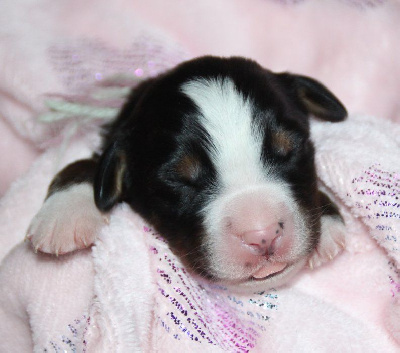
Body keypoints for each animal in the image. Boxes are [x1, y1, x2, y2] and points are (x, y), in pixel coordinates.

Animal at [28, 56, 346, 290]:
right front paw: (66, 212)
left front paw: (327, 220)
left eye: (289, 150)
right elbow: (88, 164)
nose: (263, 236)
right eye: (179, 180)